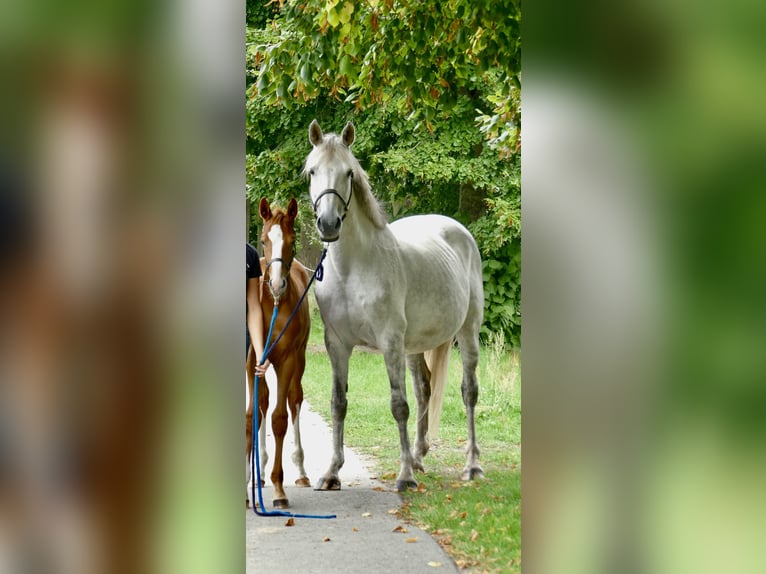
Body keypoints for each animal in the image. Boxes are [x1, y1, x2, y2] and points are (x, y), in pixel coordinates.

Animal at [306, 119, 486, 492]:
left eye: (348, 173)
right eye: (312, 171)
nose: (328, 224)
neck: (352, 268)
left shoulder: (389, 342)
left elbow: (398, 405)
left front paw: (403, 476)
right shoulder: (337, 345)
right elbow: (338, 404)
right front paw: (332, 472)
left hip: (467, 332)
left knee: (468, 392)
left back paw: (471, 466)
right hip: (414, 347)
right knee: (424, 390)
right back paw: (418, 457)